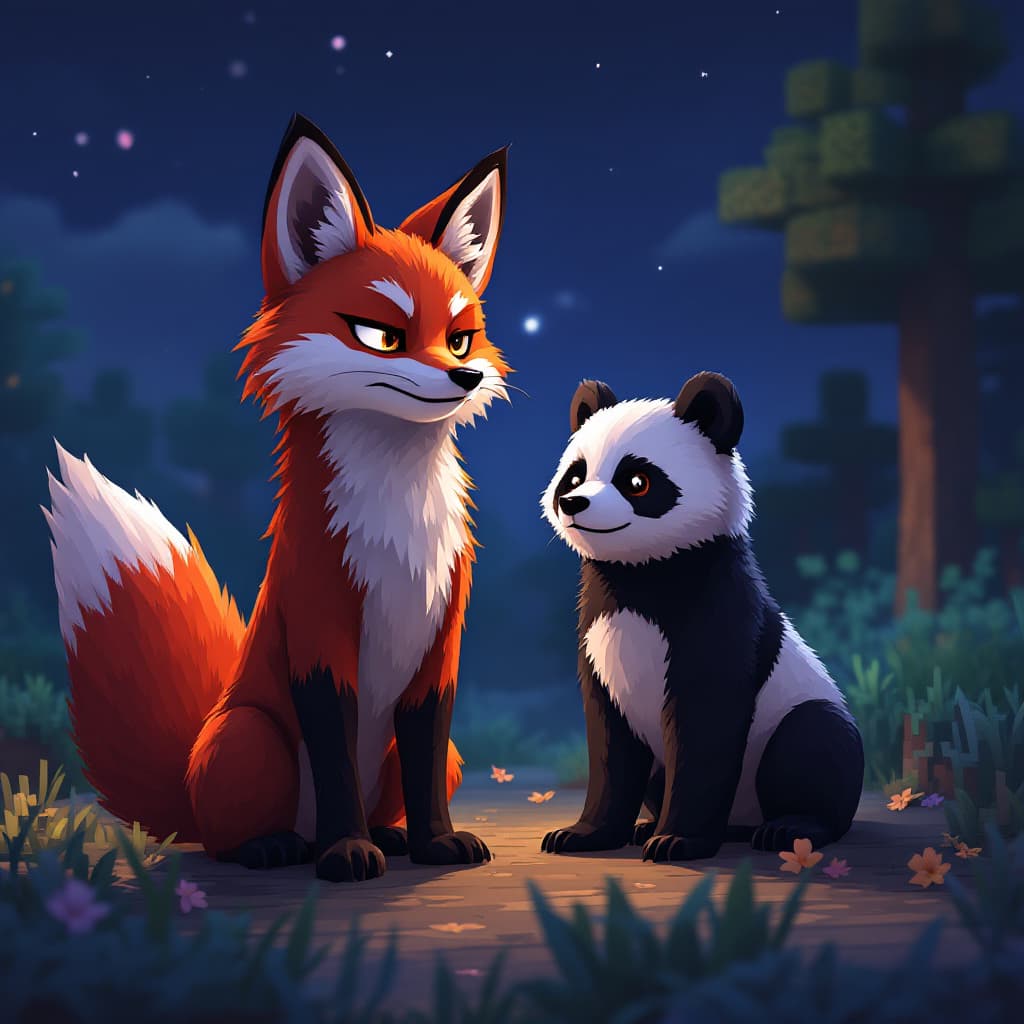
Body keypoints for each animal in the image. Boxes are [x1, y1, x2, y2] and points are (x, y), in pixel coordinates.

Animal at [43, 114, 511, 882]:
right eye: (382, 336)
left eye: (461, 338)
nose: (466, 376)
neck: (398, 536)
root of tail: (186, 780)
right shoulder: (319, 634)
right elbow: (332, 751)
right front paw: (346, 853)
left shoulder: (441, 647)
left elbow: (423, 754)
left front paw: (436, 842)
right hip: (249, 737)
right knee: (230, 836)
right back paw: (284, 847)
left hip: (445, 759)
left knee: (409, 781)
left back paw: (393, 838)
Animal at [539, 371, 863, 862]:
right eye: (575, 475)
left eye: (637, 480)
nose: (574, 503)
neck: (645, 571)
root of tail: (742, 821)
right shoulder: (597, 637)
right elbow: (609, 740)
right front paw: (582, 834)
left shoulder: (718, 609)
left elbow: (706, 721)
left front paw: (678, 841)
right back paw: (646, 826)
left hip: (793, 722)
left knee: (815, 740)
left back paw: (789, 828)